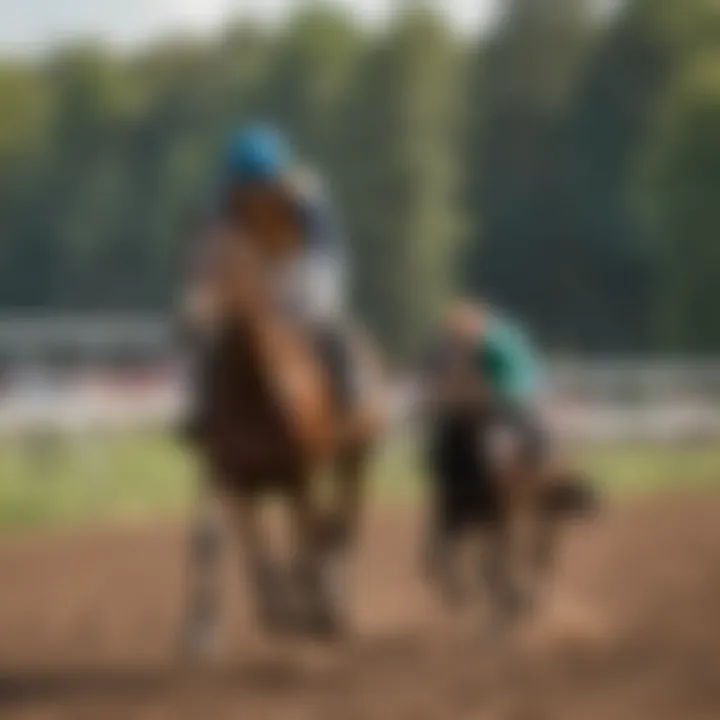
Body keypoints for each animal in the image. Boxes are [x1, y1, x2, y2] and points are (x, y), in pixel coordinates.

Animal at [178, 225, 386, 660]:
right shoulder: (236, 476)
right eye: (189, 261)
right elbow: (246, 547)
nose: (187, 321)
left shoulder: (297, 474)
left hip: (356, 456)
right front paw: (270, 613)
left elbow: (306, 536)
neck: (257, 387)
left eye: (223, 266)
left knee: (341, 520)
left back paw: (329, 601)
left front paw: (313, 608)